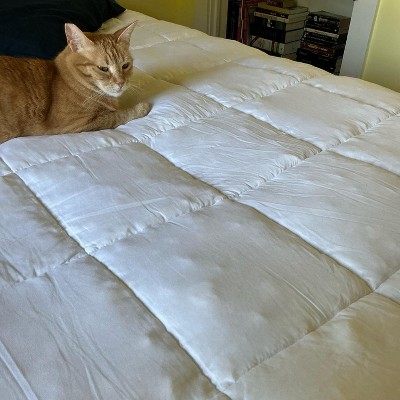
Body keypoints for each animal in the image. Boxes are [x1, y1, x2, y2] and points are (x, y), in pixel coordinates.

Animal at [0, 21, 151, 144]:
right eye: (103, 68)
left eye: (125, 66)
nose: (121, 82)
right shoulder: (78, 125)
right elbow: (116, 116)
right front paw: (141, 108)